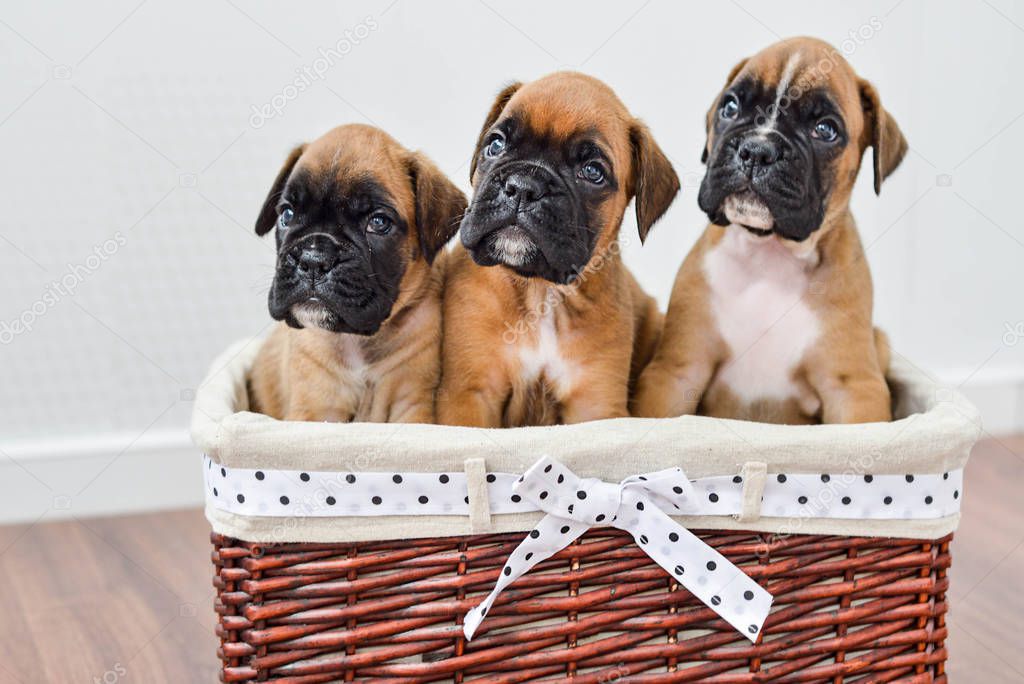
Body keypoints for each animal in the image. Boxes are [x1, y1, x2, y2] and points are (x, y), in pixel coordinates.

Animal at [249, 123, 466, 421]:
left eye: (378, 222)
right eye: (287, 215)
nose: (313, 259)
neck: (359, 341)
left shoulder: (411, 405)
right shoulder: (315, 408)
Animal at [440, 74, 679, 428]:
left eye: (593, 172)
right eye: (495, 145)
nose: (523, 187)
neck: (542, 291)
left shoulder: (594, 405)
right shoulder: (469, 394)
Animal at [634, 37, 909, 423]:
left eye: (825, 130)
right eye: (730, 107)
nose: (756, 150)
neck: (770, 252)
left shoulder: (853, 387)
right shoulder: (675, 372)